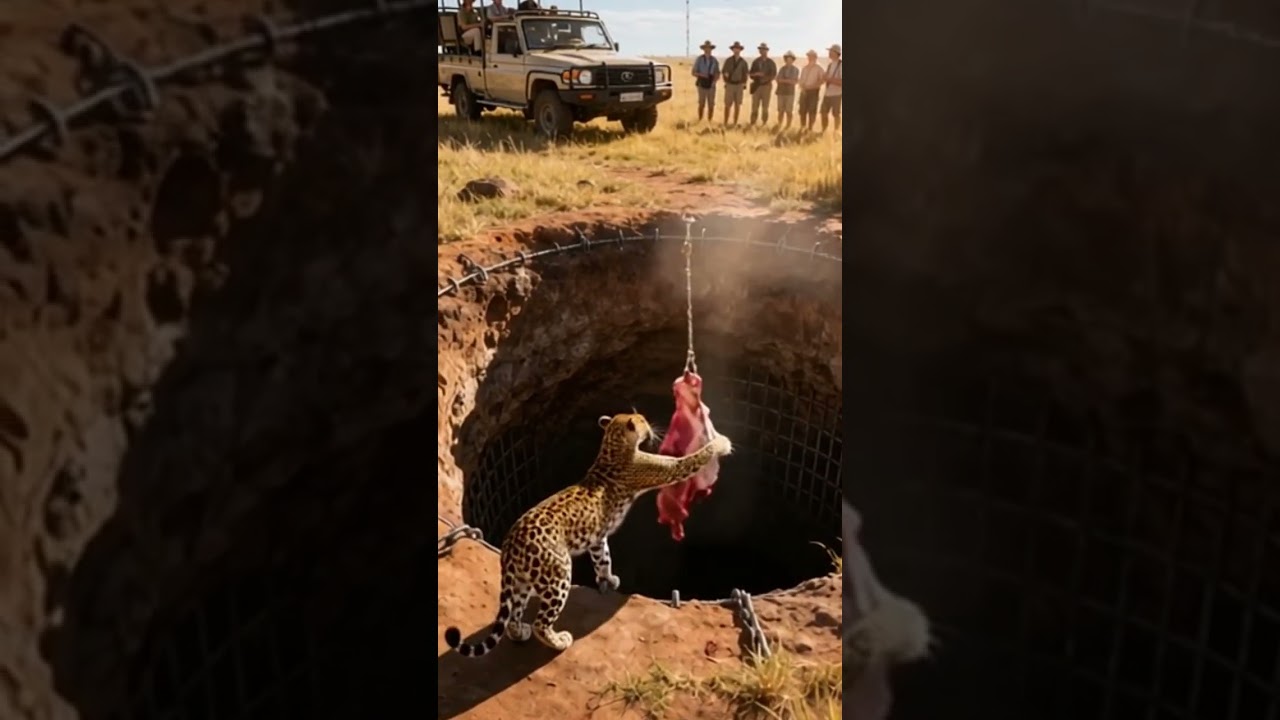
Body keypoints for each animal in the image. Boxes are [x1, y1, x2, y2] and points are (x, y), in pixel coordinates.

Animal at [443, 411, 733, 657]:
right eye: (641, 419)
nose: (651, 427)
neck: (610, 446)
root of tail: (511, 542)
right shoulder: (664, 470)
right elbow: (690, 460)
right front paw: (721, 443)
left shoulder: (596, 537)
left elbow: (603, 558)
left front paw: (609, 579)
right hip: (557, 575)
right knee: (541, 622)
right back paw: (558, 640)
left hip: (522, 579)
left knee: (514, 612)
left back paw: (519, 632)